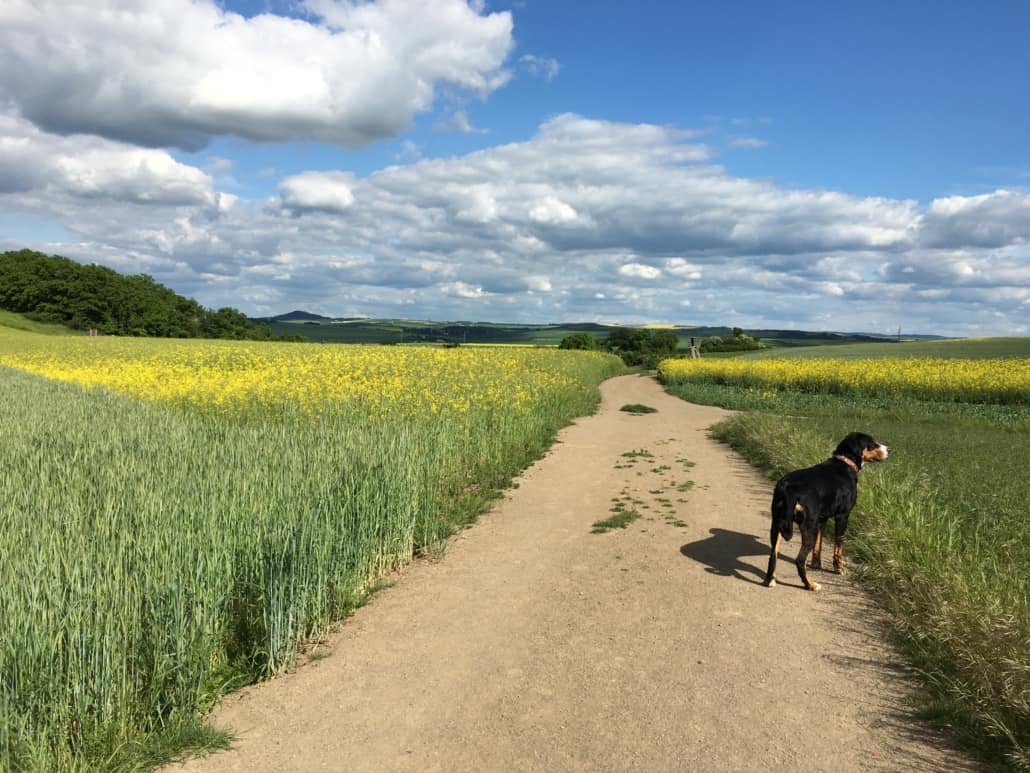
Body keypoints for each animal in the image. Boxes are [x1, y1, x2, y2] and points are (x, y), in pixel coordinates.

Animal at [762, 432, 889, 589]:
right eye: (872, 443)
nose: (889, 450)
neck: (846, 463)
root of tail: (788, 486)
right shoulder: (842, 516)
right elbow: (838, 546)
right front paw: (839, 568)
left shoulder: (822, 519)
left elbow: (819, 545)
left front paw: (816, 565)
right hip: (809, 526)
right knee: (799, 560)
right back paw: (810, 585)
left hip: (777, 523)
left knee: (773, 554)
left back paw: (770, 580)